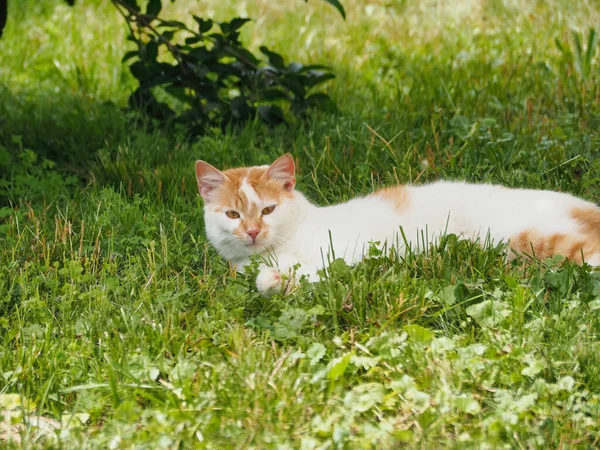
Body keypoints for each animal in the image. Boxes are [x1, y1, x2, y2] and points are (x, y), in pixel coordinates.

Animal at [195, 153, 596, 298]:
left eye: (267, 210)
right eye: (233, 215)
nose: (252, 232)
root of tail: (587, 207)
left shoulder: (347, 253)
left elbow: (321, 268)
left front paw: (280, 278)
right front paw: (276, 280)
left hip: (527, 238)